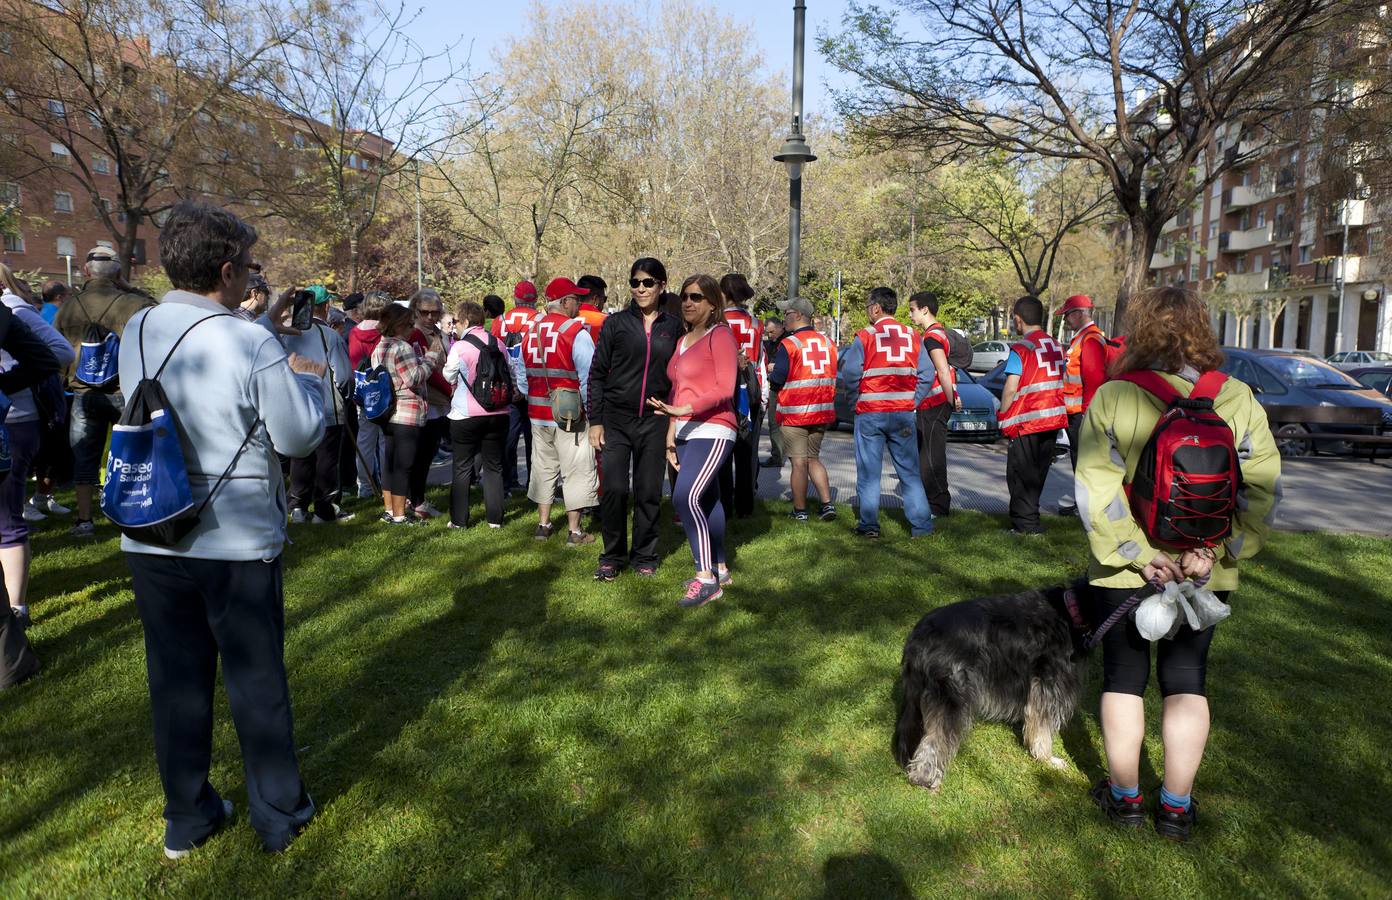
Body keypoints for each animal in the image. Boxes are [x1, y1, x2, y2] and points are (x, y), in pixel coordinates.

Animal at [896, 584, 1091, 790]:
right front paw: (1047, 759)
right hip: (952, 695)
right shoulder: (1049, 684)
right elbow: (1041, 728)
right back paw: (925, 779)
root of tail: (917, 637)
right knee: (934, 740)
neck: (1070, 611)